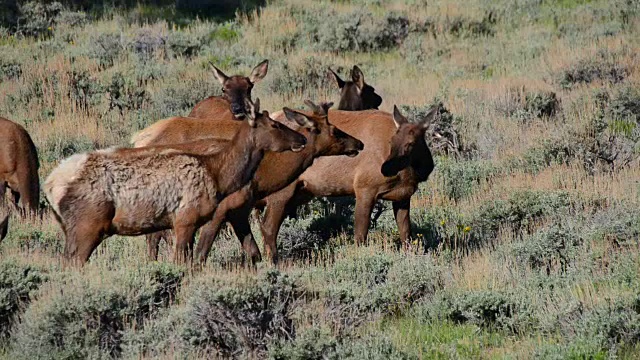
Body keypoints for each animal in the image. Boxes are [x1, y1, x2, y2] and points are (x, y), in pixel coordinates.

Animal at [45, 100, 308, 266]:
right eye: (275, 124)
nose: (302, 139)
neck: (217, 175)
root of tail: (50, 185)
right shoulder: (185, 220)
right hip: (87, 227)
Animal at [258, 105, 438, 262]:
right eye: (391, 141)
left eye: (411, 143)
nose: (386, 168)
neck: (407, 174)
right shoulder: (364, 187)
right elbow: (360, 234)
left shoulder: (402, 196)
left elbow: (406, 233)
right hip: (282, 189)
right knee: (268, 226)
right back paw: (273, 261)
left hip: (300, 192)